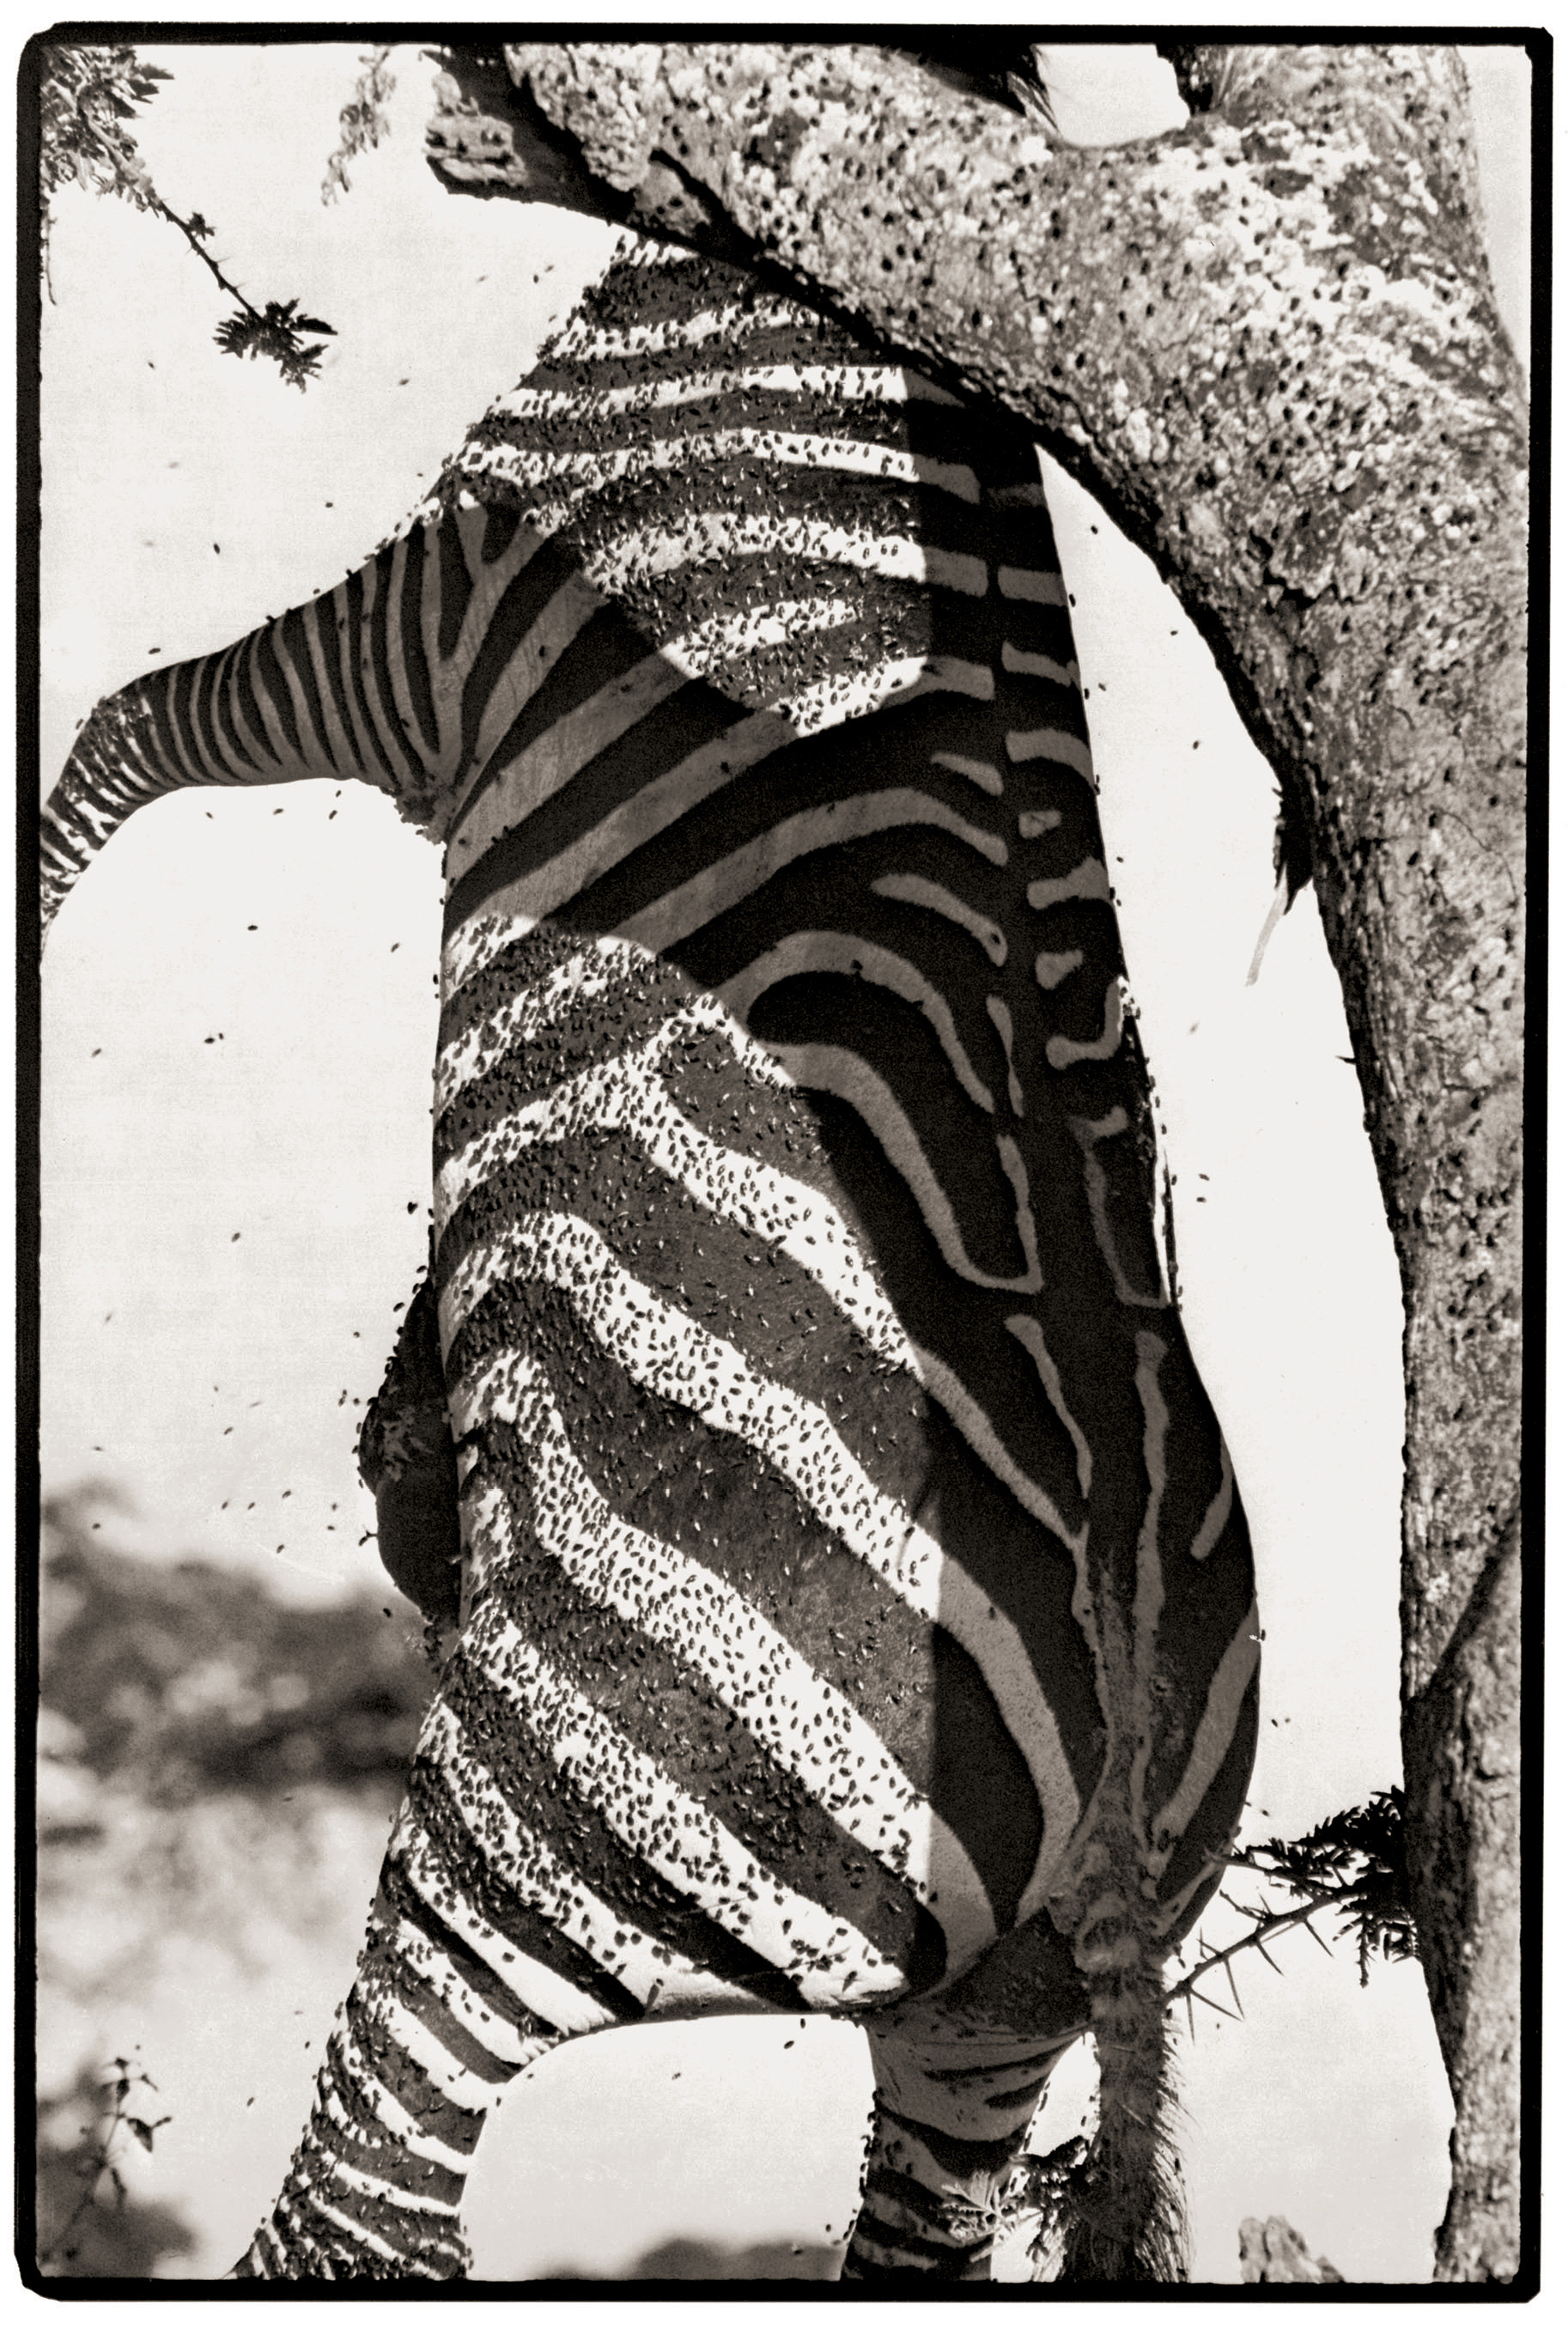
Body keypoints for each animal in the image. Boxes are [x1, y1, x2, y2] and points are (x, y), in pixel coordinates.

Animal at [42, 204, 1259, 2282]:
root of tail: (1113, 1703)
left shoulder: (433, 610)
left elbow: (132, 721)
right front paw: (410, 1449)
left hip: (545, 1832)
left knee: (374, 2201)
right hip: (987, 2023)